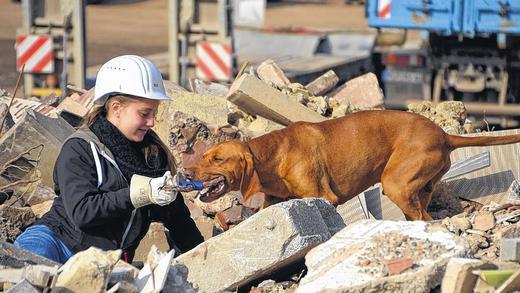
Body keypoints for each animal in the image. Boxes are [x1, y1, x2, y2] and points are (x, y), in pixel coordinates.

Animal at [187, 109, 520, 219]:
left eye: (217, 159)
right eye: (204, 155)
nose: (186, 171)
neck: (274, 154)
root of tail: (443, 134)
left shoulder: (323, 197)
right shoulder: (276, 203)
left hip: (395, 184)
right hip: (418, 189)